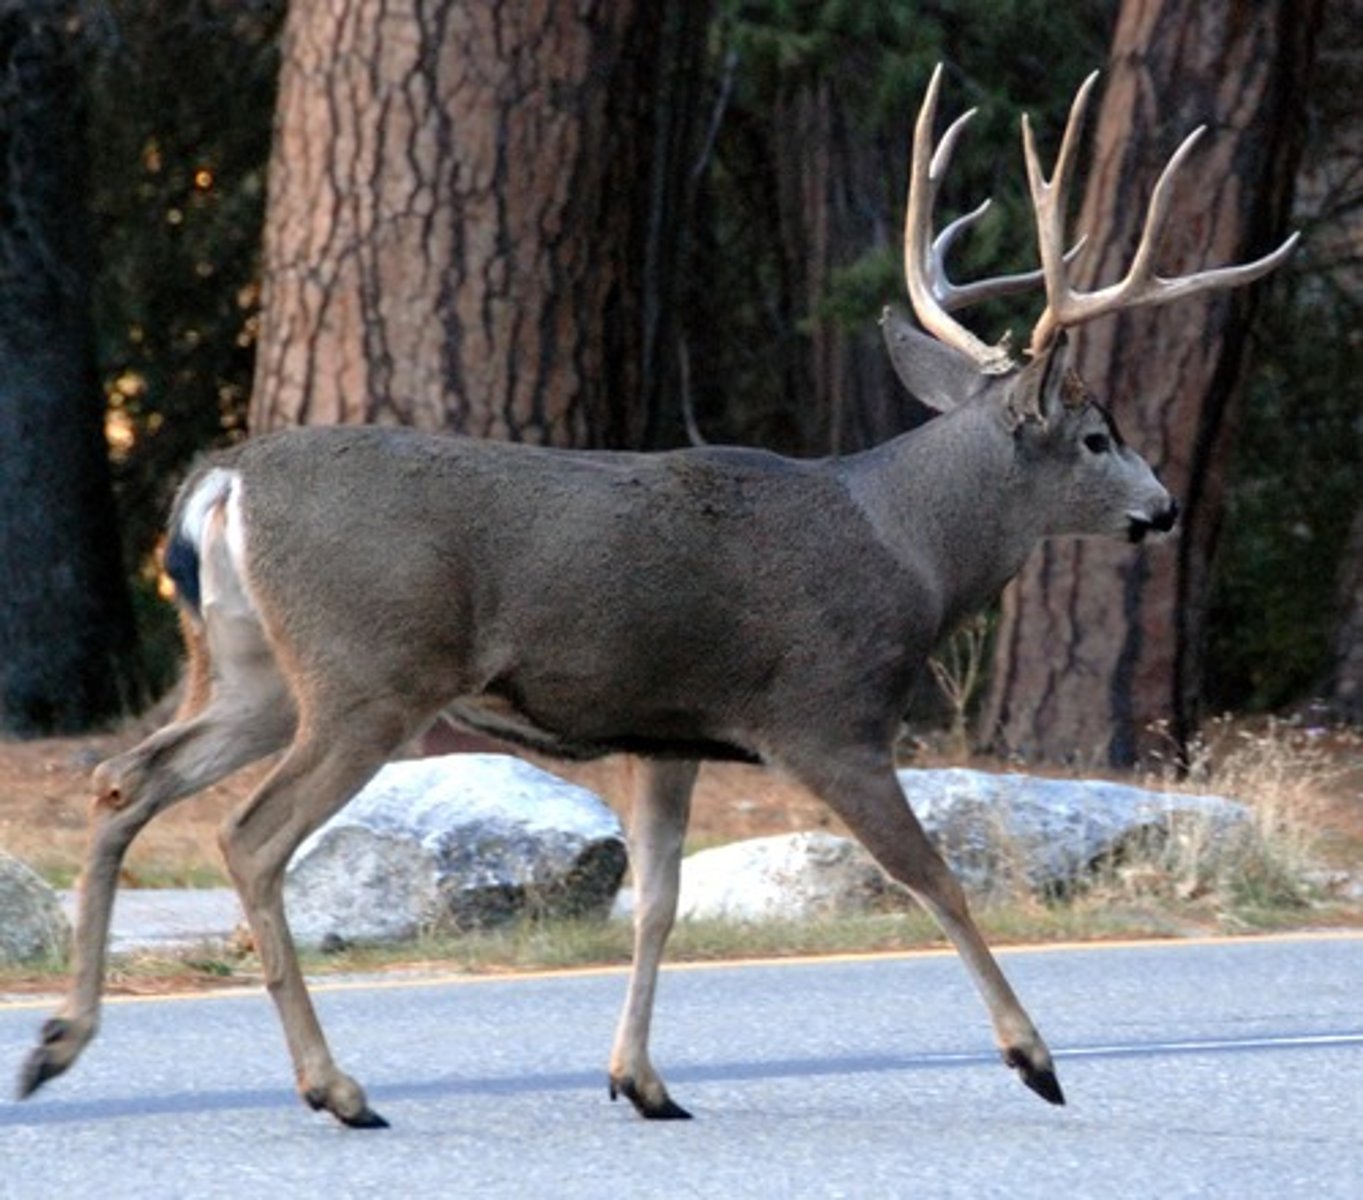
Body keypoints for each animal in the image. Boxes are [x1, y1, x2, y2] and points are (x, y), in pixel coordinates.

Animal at [17, 65, 1294, 1127]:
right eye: (1096, 437)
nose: (1163, 507)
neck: (910, 548)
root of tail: (222, 480)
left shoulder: (667, 729)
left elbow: (658, 898)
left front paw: (641, 1081)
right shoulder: (825, 713)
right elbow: (930, 875)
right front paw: (1034, 1059)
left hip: (253, 668)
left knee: (126, 776)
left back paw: (58, 1043)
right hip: (366, 673)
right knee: (247, 837)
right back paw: (334, 1089)